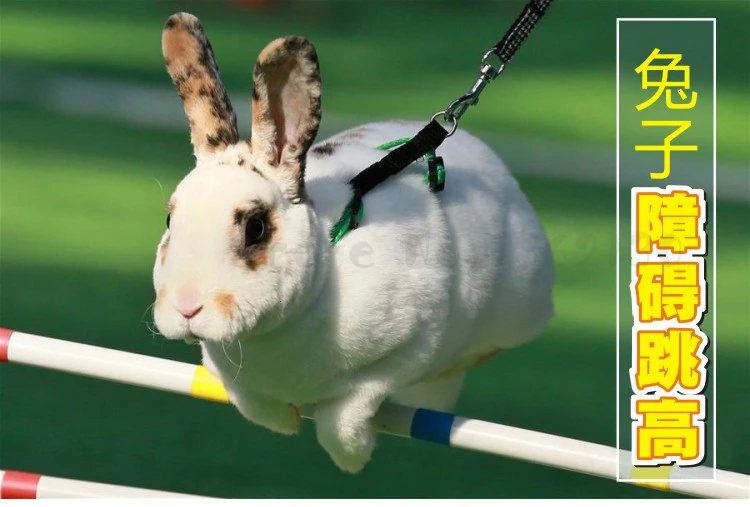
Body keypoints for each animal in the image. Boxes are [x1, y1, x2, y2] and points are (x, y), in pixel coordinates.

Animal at [152, 12, 554, 473]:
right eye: (170, 219)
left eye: (255, 228)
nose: (186, 307)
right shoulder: (224, 370)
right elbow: (252, 403)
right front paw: (285, 422)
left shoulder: (413, 342)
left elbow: (347, 410)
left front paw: (352, 458)